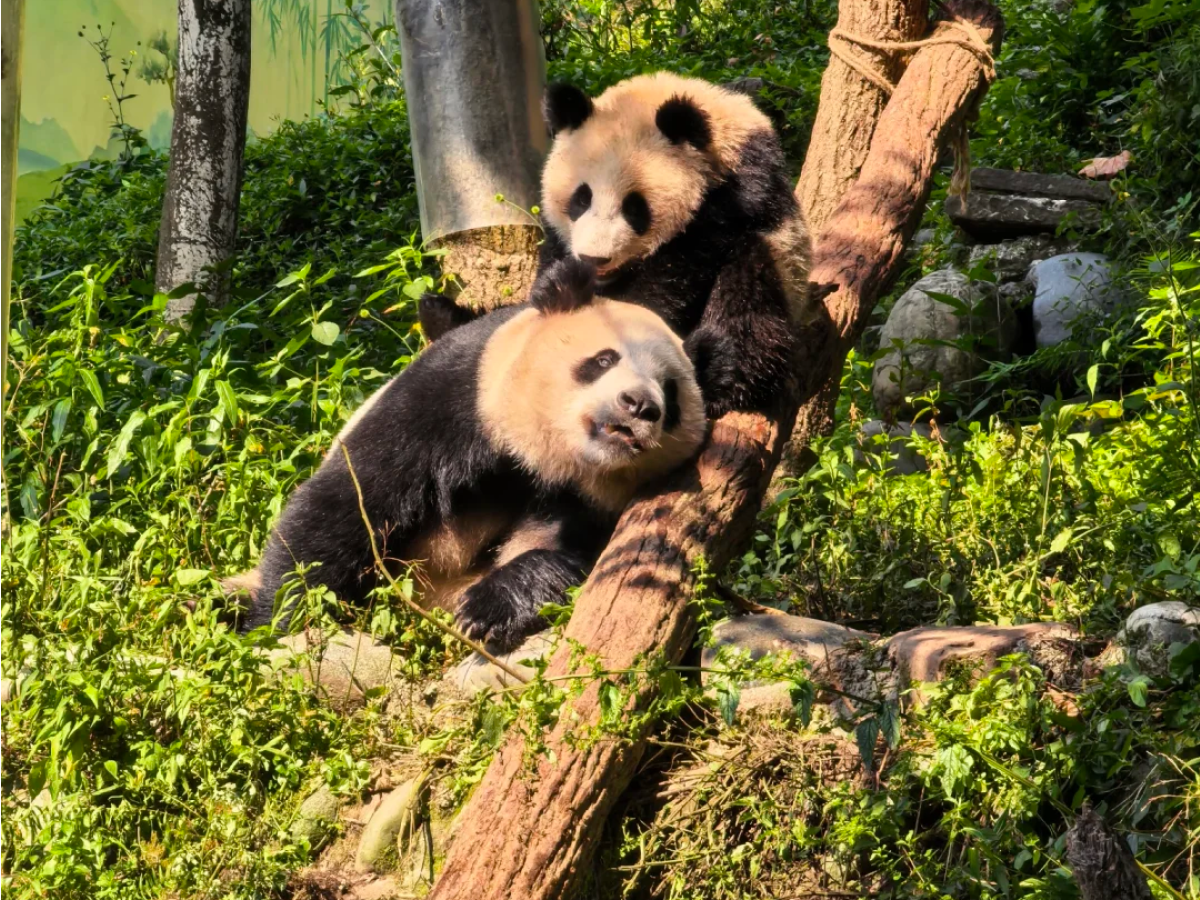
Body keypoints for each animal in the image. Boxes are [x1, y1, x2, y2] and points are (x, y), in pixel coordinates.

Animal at [233, 259, 707, 651]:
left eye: (670, 394)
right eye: (605, 359)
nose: (639, 405)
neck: (542, 457)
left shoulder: (590, 502)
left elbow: (580, 559)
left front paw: (488, 610)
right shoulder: (459, 396)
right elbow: (349, 502)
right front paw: (285, 616)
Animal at [421, 71, 811, 418]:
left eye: (635, 208)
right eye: (581, 199)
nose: (594, 259)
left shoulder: (737, 196)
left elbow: (677, 272)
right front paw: (556, 291)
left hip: (780, 276)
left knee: (749, 290)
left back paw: (717, 373)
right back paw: (442, 315)